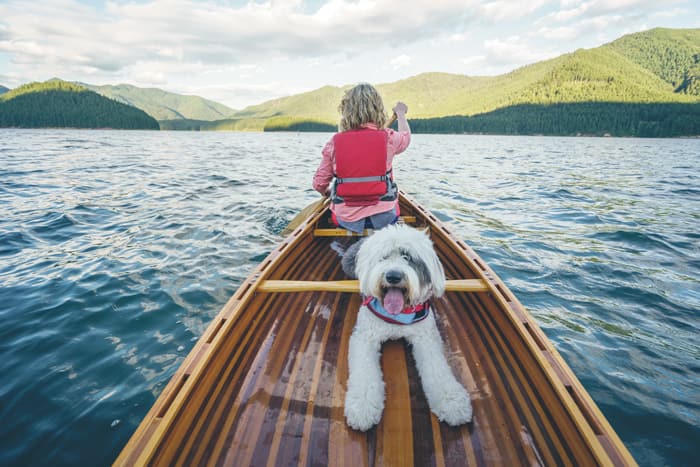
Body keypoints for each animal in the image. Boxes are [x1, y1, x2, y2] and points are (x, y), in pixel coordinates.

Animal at [344, 225, 474, 434]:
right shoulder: (365, 337)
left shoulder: (426, 337)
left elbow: (437, 369)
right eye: (384, 257)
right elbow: (364, 372)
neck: (398, 315)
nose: (393, 276)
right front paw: (363, 407)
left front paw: (451, 401)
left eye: (408, 257)